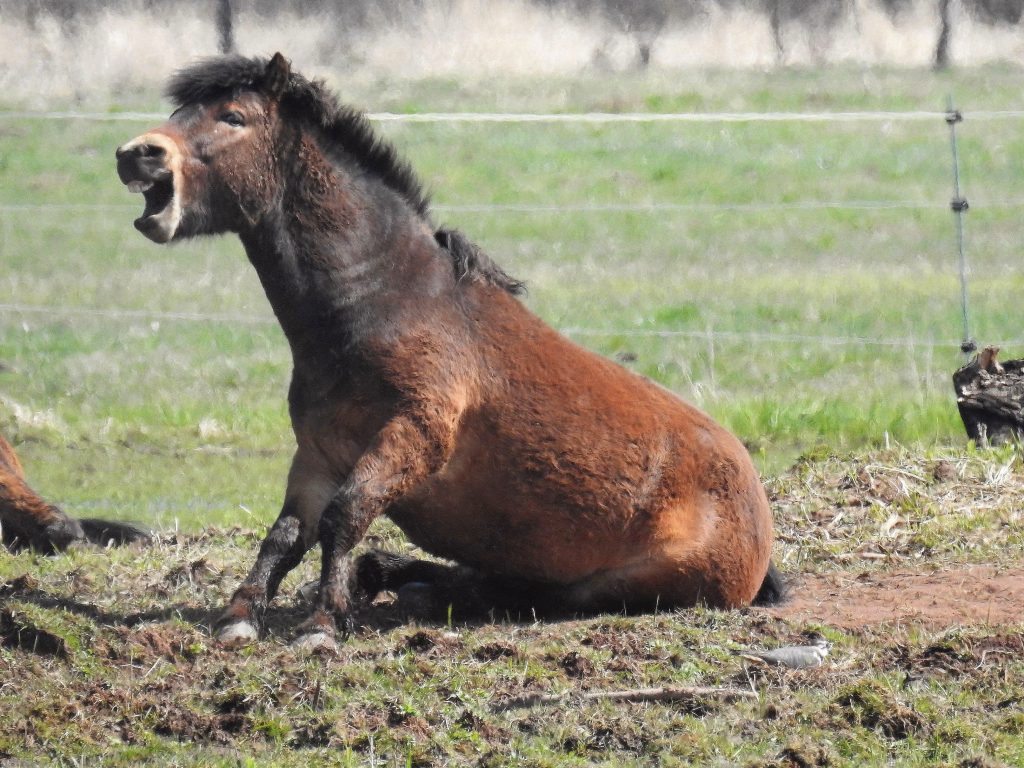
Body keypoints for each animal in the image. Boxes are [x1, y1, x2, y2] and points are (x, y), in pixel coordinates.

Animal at [116, 52, 778, 651]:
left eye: (234, 116)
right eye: (178, 113)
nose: (137, 153)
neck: (388, 303)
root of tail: (758, 525)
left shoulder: (412, 435)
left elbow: (343, 516)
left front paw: (323, 625)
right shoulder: (321, 452)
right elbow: (288, 533)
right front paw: (240, 616)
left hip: (620, 582)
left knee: (530, 594)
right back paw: (392, 577)